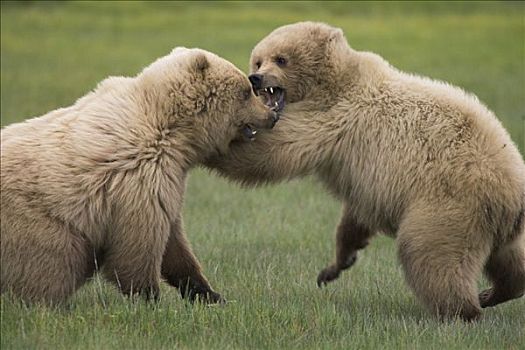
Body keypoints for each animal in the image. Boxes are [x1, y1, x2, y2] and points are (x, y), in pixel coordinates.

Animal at [1, 46, 278, 304]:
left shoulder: (169, 179)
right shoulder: (140, 177)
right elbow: (138, 246)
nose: (272, 115)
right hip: (39, 226)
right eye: (246, 91)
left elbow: (175, 244)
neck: (176, 133)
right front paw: (149, 297)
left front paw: (210, 294)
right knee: (52, 268)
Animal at [206, 21, 524, 322]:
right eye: (258, 60)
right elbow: (352, 221)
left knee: (432, 256)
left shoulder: (330, 116)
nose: (256, 78)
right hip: (494, 224)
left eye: (281, 59)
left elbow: (274, 149)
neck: (333, 81)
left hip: (448, 206)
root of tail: (511, 192)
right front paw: (333, 267)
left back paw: (463, 311)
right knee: (510, 260)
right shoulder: (364, 179)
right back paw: (493, 293)